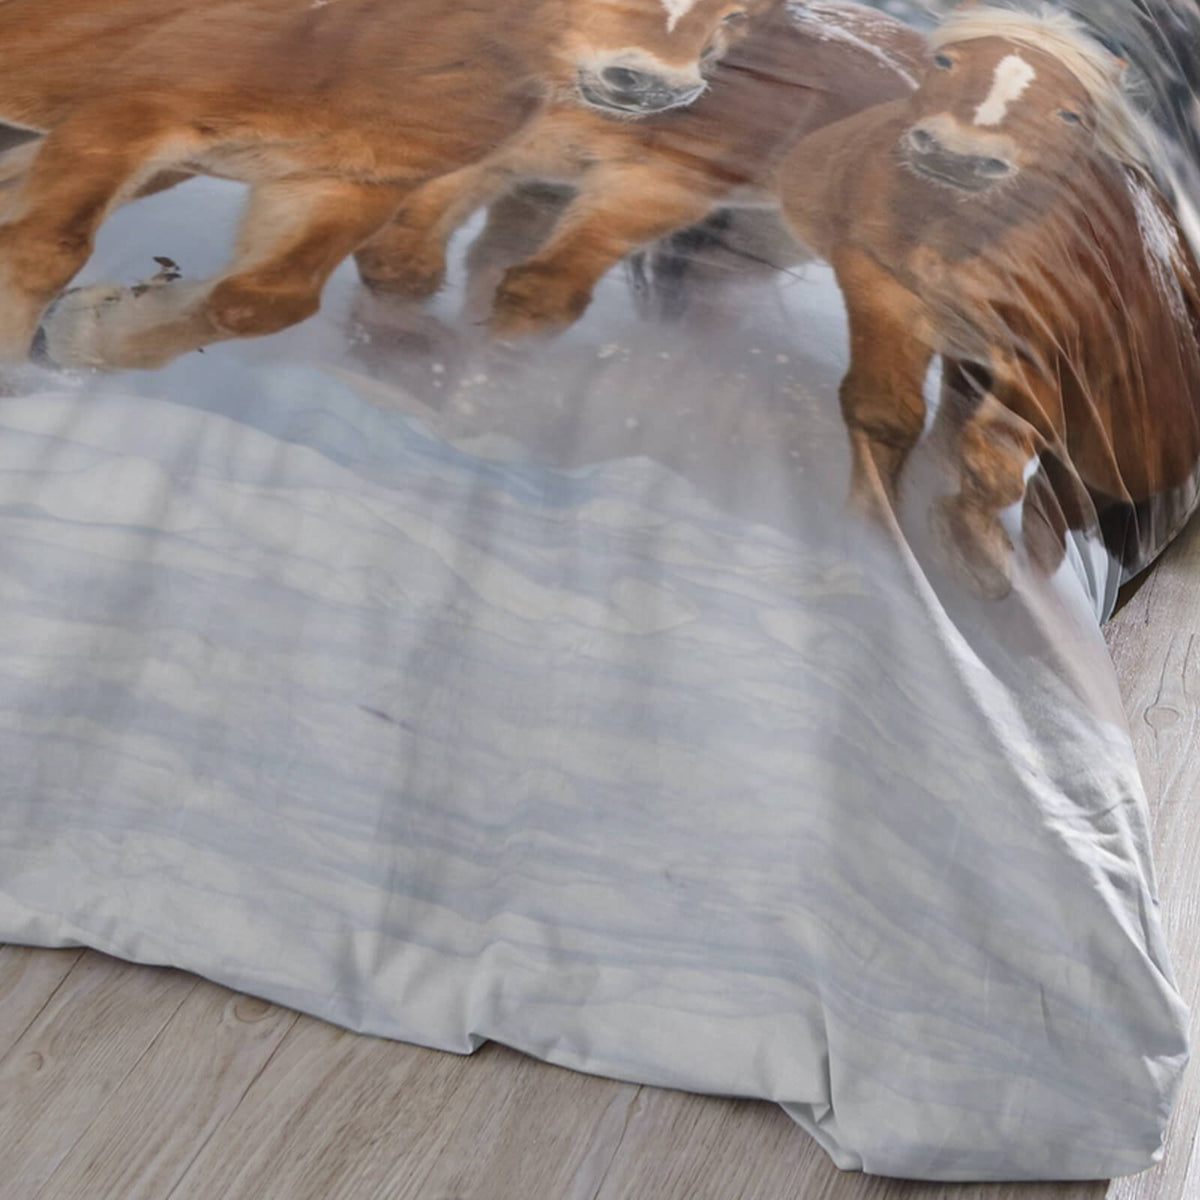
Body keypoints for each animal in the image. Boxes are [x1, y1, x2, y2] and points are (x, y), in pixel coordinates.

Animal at [0, 0, 769, 371]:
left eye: (735, 12)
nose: (651, 86)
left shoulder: (344, 181)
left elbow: (262, 301)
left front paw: (80, 334)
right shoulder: (123, 121)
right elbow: (41, 249)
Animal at [348, 0, 926, 336]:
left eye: (733, 13)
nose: (651, 87)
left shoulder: (656, 190)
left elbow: (540, 295)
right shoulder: (502, 158)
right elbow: (399, 263)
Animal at [776, 7, 1200, 599]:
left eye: (1071, 114)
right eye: (943, 61)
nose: (958, 156)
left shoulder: (1045, 364)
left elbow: (995, 453)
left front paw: (973, 550)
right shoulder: (878, 279)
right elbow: (886, 414)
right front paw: (868, 541)